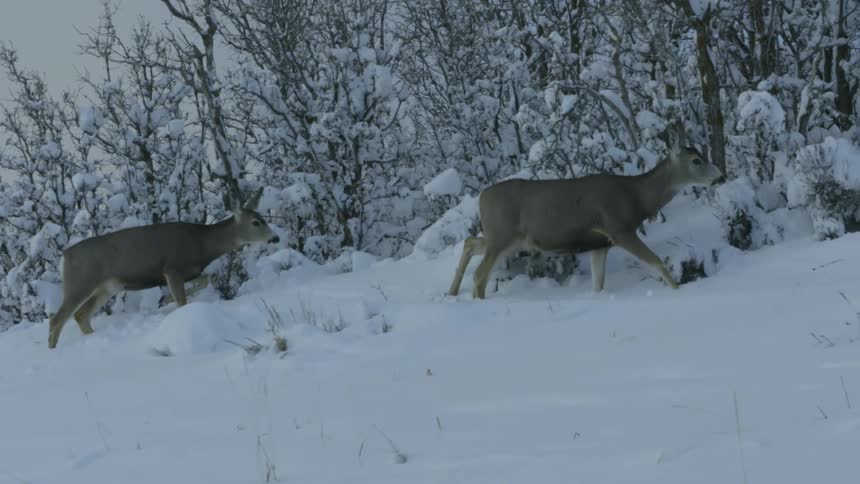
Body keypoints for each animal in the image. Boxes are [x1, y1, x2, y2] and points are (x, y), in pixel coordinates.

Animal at [47, 188, 280, 349]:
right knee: (57, 319)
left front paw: (164, 299)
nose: (275, 238)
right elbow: (182, 301)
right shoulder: (172, 268)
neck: (202, 244)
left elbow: (205, 280)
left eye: (263, 218)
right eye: (256, 222)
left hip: (107, 287)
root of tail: (64, 256)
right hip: (80, 282)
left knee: (81, 315)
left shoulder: (190, 271)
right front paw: (171, 306)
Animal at [448, 132, 723, 299]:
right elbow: (656, 261)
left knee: (470, 243)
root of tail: (482, 197)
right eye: (696, 160)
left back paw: (452, 292)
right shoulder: (618, 228)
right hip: (502, 234)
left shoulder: (599, 244)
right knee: (480, 274)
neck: (636, 198)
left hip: (509, 239)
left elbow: (598, 283)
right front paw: (678, 290)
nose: (721, 176)